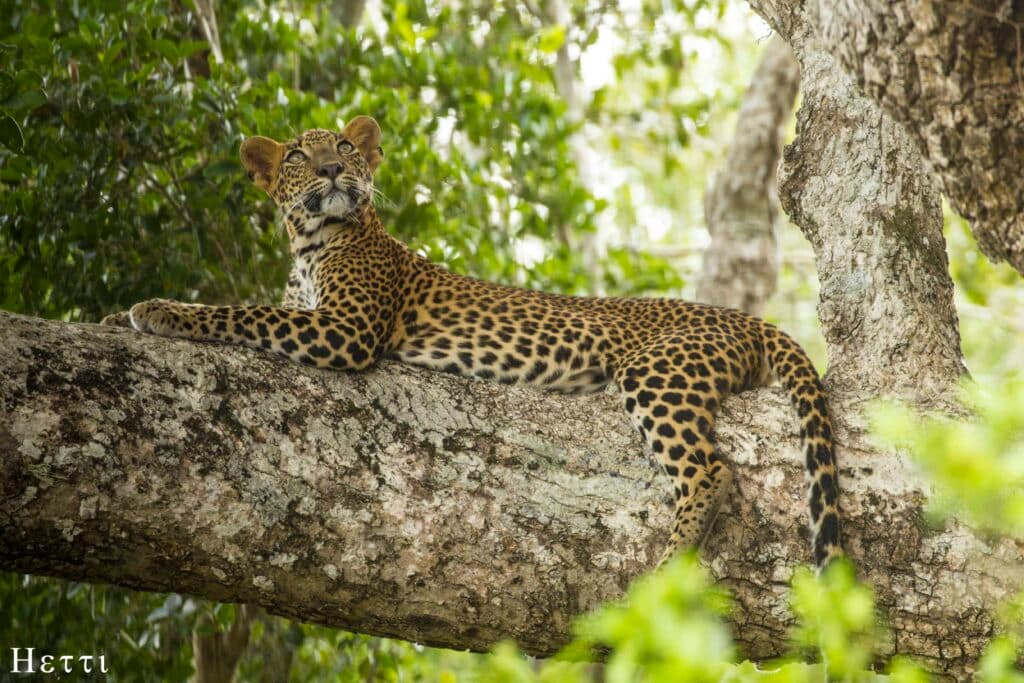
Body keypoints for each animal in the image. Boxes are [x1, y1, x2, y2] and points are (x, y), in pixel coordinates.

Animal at [103, 115, 842, 568]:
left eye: (345, 147)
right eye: (296, 155)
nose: (332, 172)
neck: (311, 245)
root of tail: (747, 318)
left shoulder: (345, 331)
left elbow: (241, 313)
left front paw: (160, 310)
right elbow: (255, 308)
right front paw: (115, 318)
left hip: (659, 374)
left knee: (709, 471)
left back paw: (665, 567)